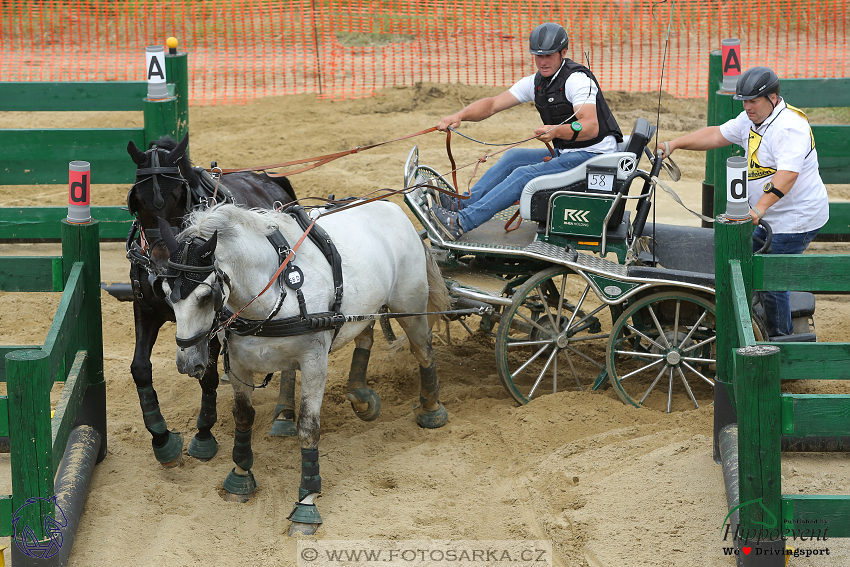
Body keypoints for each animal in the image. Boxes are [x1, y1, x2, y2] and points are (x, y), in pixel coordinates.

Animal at [124, 135, 298, 468]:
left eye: (179, 194)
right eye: (136, 199)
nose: (163, 265)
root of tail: (267, 178)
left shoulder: (214, 319)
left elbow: (207, 376)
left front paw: (204, 435)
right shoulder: (146, 309)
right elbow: (139, 368)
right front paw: (161, 439)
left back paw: (285, 414)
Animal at [159, 204, 450, 536]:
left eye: (205, 296)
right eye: (165, 292)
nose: (186, 362)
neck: (271, 293)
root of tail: (394, 208)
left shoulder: (314, 362)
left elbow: (309, 429)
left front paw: (307, 502)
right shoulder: (239, 364)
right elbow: (243, 418)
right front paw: (240, 477)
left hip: (410, 307)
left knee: (423, 351)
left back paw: (431, 409)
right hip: (363, 311)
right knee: (365, 335)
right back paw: (360, 395)